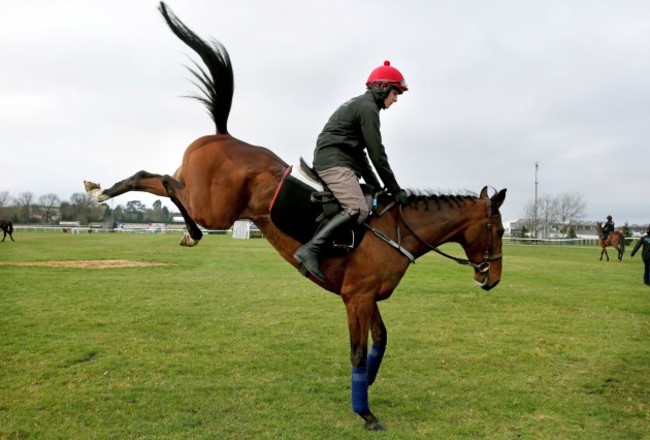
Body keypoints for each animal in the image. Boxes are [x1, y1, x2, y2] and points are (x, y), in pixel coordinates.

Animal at [82, 2, 506, 430]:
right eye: (499, 230)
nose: (493, 280)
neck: (398, 230)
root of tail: (224, 135)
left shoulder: (368, 298)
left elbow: (380, 343)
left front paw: (364, 390)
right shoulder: (357, 297)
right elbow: (358, 352)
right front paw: (365, 411)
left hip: (202, 194)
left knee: (150, 176)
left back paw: (103, 192)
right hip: (212, 209)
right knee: (169, 186)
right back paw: (183, 230)